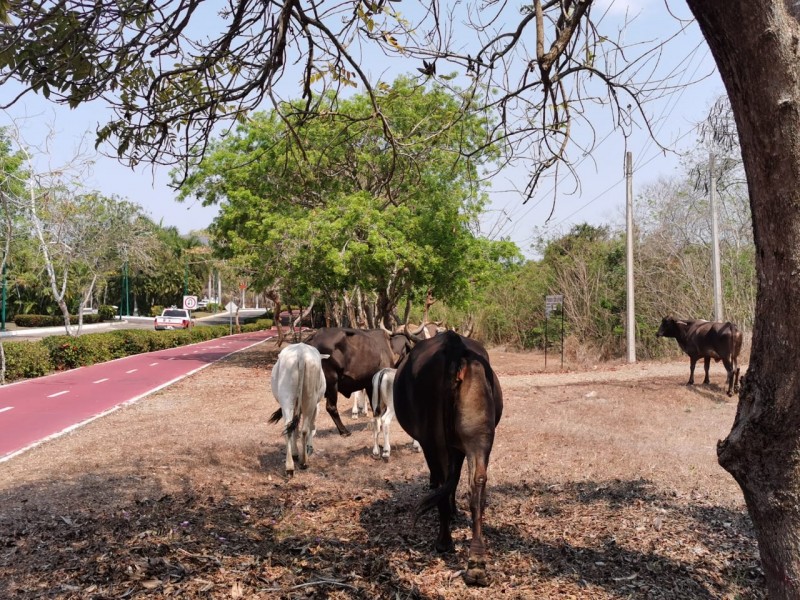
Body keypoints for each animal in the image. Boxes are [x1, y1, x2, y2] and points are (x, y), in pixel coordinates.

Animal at [268, 342, 328, 478]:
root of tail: (301, 353)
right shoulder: (315, 406)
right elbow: (311, 426)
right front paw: (308, 447)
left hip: (287, 398)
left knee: (289, 427)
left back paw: (290, 466)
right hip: (310, 400)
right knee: (304, 429)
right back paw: (303, 461)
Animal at [392, 328, 504, 584]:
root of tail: (454, 346)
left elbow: (441, 482)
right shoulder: (459, 447)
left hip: (433, 441)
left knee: (441, 481)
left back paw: (444, 542)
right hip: (480, 437)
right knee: (478, 483)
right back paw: (476, 563)